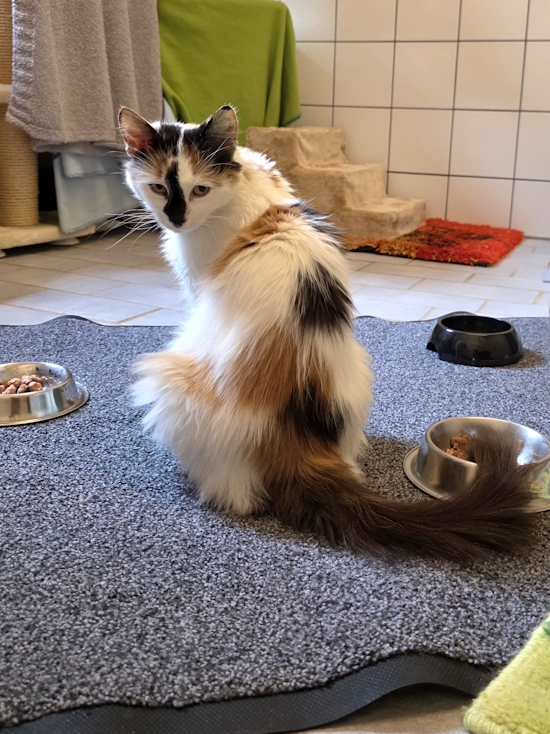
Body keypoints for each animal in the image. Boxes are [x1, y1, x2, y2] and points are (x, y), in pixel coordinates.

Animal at [119, 104, 537, 562]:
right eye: (159, 187)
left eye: (200, 190)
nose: (175, 217)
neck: (244, 188)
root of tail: (297, 441)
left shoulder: (196, 292)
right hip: (360, 368)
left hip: (168, 377)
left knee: (238, 497)